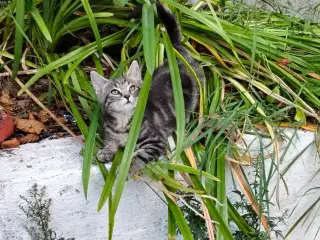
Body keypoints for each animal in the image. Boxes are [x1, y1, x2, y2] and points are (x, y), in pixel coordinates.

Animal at [90, 1, 205, 177]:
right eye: (115, 92)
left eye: (132, 88)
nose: (127, 96)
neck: (123, 124)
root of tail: (179, 54)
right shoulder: (111, 134)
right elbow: (110, 142)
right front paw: (106, 151)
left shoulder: (156, 142)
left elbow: (139, 156)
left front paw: (125, 169)